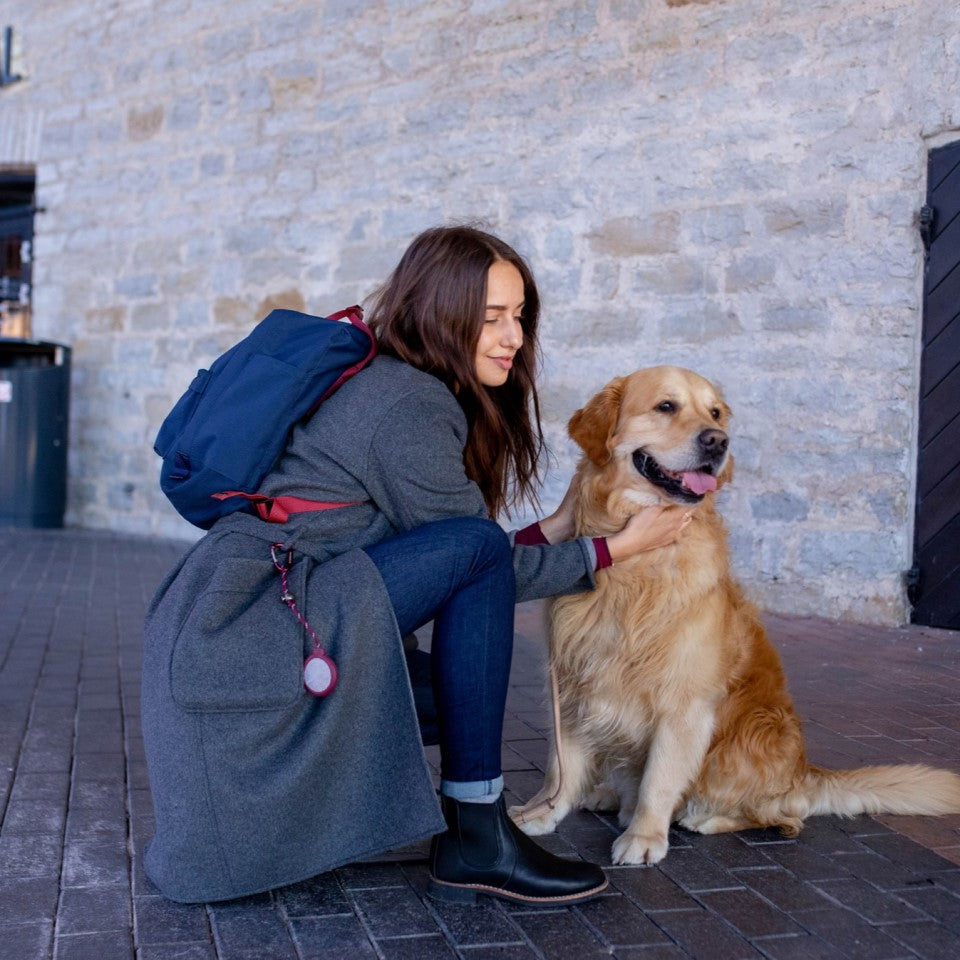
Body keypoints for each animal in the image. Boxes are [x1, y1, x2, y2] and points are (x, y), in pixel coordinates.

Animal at [510, 366, 960, 864]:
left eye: (715, 413)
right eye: (666, 406)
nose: (717, 442)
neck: (638, 565)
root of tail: (805, 772)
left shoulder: (684, 703)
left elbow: (658, 780)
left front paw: (644, 837)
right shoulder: (572, 682)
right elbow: (560, 769)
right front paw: (542, 812)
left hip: (753, 736)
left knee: (783, 816)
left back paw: (703, 817)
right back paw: (608, 794)